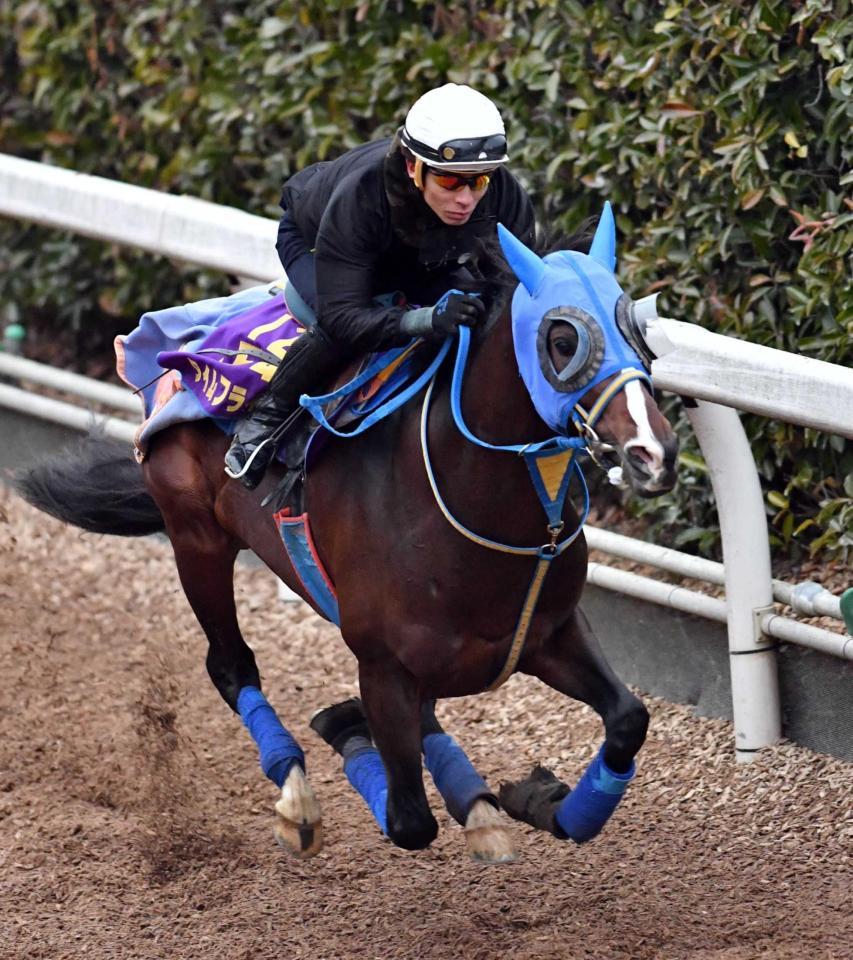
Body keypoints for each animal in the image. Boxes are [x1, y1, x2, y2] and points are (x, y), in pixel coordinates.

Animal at [13, 206, 680, 868]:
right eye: (563, 341)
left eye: (640, 335)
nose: (654, 452)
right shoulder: (382, 664)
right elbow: (409, 820)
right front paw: (345, 733)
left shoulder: (549, 632)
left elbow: (627, 720)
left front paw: (536, 797)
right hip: (196, 537)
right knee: (231, 665)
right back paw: (298, 799)